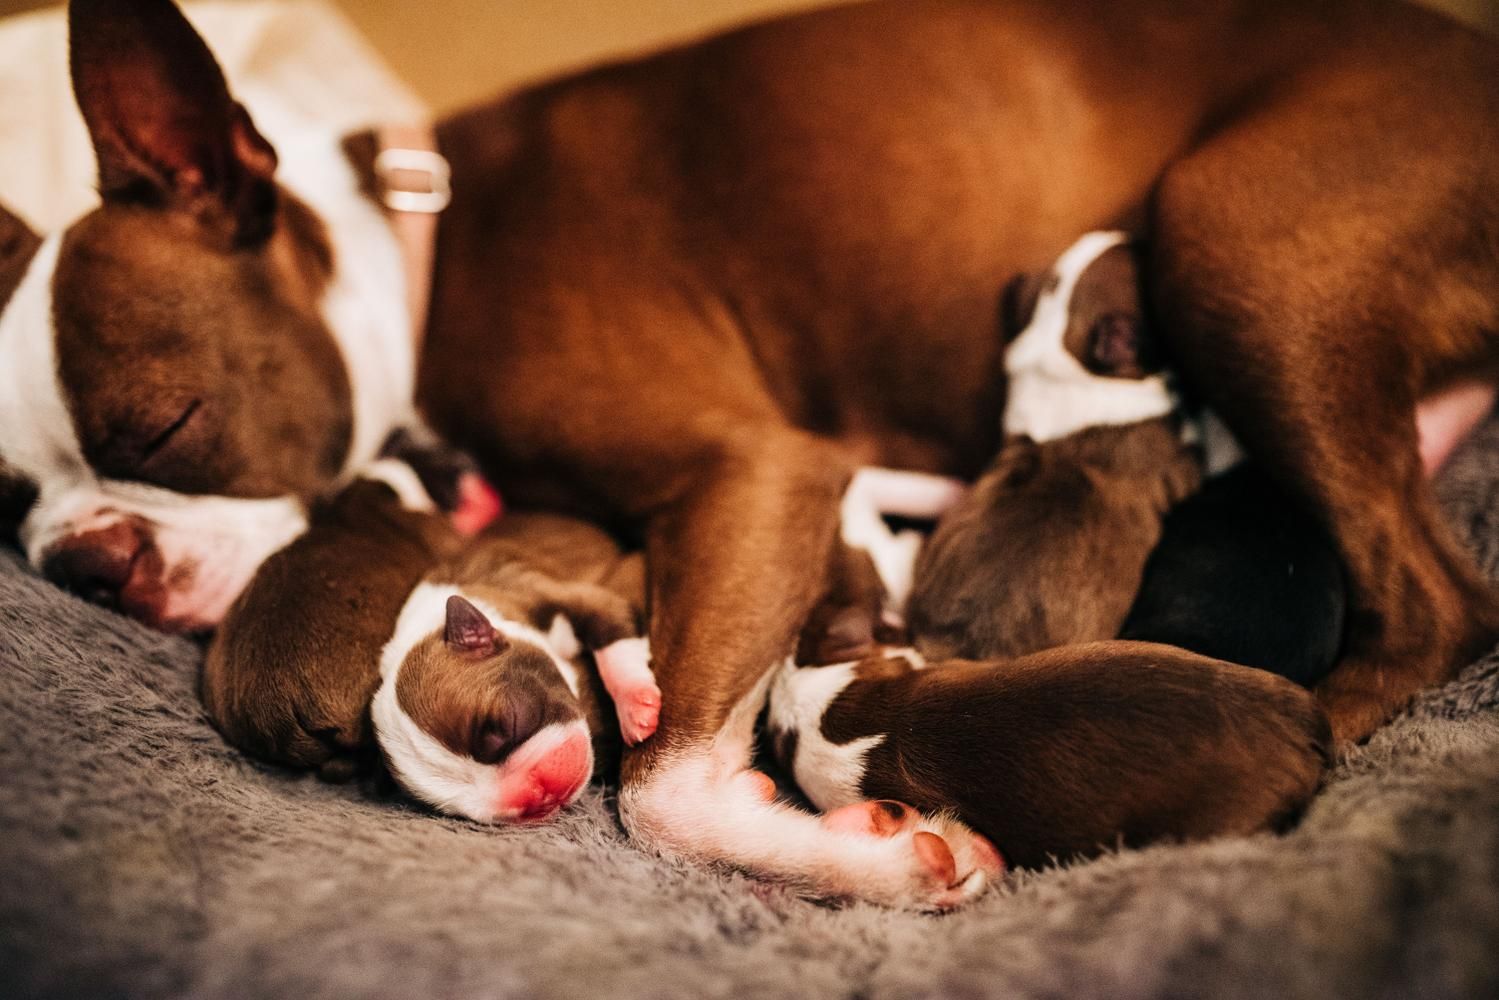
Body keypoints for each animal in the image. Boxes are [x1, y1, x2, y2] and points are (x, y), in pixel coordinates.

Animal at [371, 512, 659, 827]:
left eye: (510, 724)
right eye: (458, 812)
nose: (537, 795)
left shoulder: (577, 600)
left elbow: (612, 636)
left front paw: (636, 708)